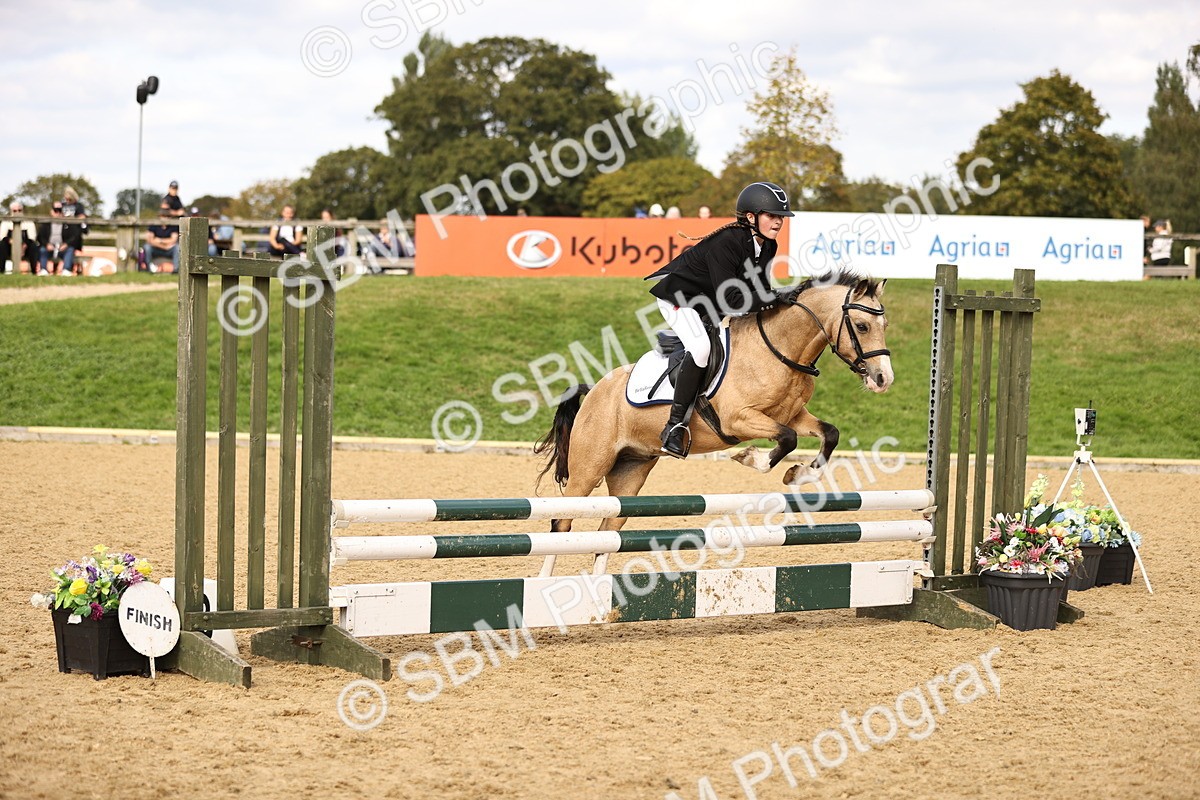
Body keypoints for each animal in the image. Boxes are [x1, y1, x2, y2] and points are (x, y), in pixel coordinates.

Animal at [533, 272, 894, 574]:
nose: (883, 379)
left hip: (630, 473)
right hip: (590, 468)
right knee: (562, 524)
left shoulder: (793, 415)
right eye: (862, 326)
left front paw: (798, 473)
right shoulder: (739, 419)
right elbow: (788, 439)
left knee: (607, 535)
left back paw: (598, 601)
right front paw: (751, 458)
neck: (779, 351)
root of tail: (594, 389)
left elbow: (829, 434)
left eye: (885, 324)